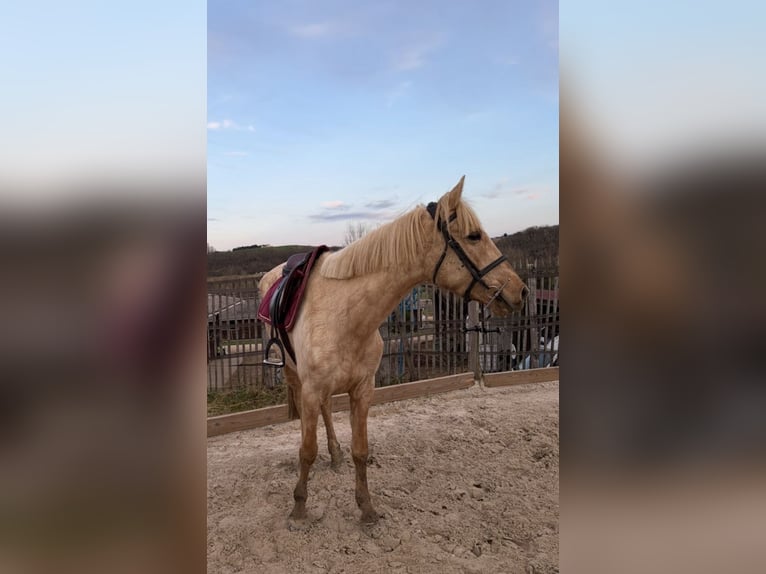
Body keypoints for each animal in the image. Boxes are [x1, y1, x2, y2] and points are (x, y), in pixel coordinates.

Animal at [258, 176, 528, 526]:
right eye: (474, 236)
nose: (520, 290)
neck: (348, 315)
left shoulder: (363, 389)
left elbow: (361, 450)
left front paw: (366, 508)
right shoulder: (312, 387)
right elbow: (307, 449)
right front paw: (299, 507)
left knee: (327, 411)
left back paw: (335, 453)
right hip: (294, 374)